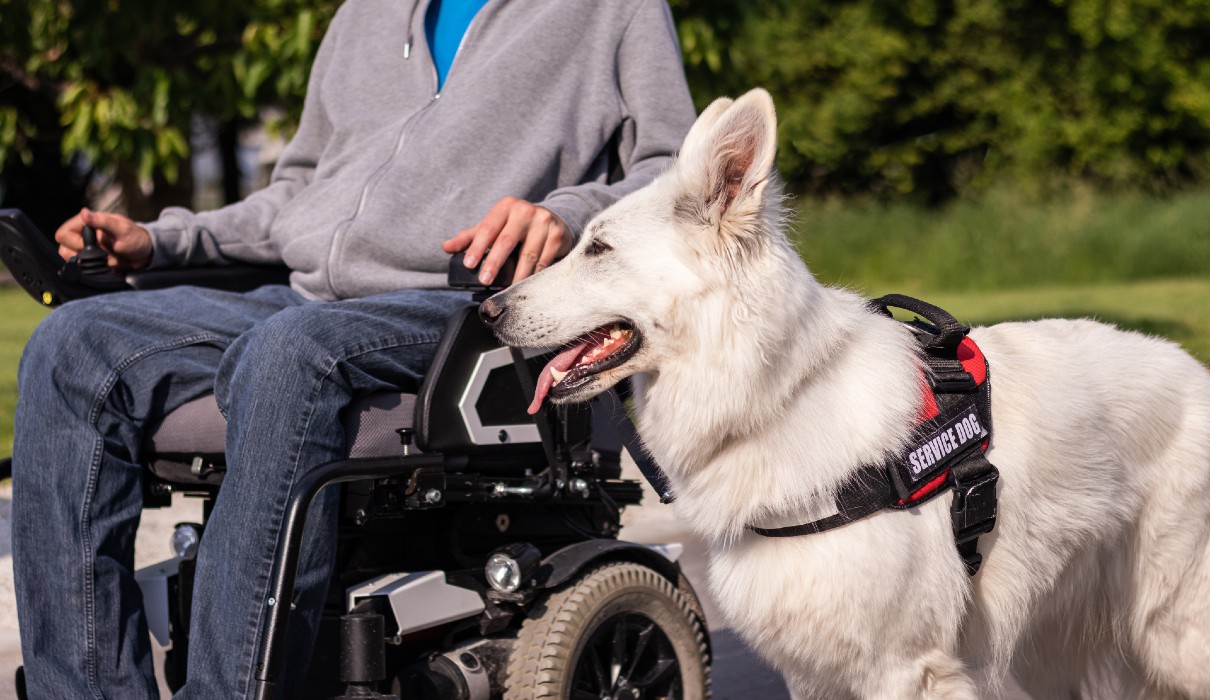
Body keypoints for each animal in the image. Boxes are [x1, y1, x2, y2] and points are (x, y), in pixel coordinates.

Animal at [479, 88, 1210, 700]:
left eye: (599, 250)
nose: (487, 309)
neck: (780, 395)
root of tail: (1194, 368)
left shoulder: (902, 668)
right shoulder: (816, 669)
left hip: (1174, 636)